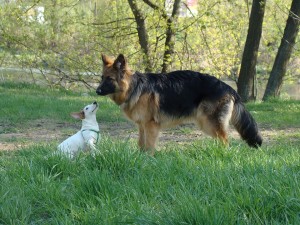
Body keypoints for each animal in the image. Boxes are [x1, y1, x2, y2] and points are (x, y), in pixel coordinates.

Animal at [95, 53, 260, 154]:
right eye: (101, 78)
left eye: (109, 79)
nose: (97, 91)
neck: (134, 87)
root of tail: (229, 88)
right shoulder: (142, 126)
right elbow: (141, 145)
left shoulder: (151, 125)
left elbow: (149, 146)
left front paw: (148, 160)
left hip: (209, 123)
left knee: (225, 140)